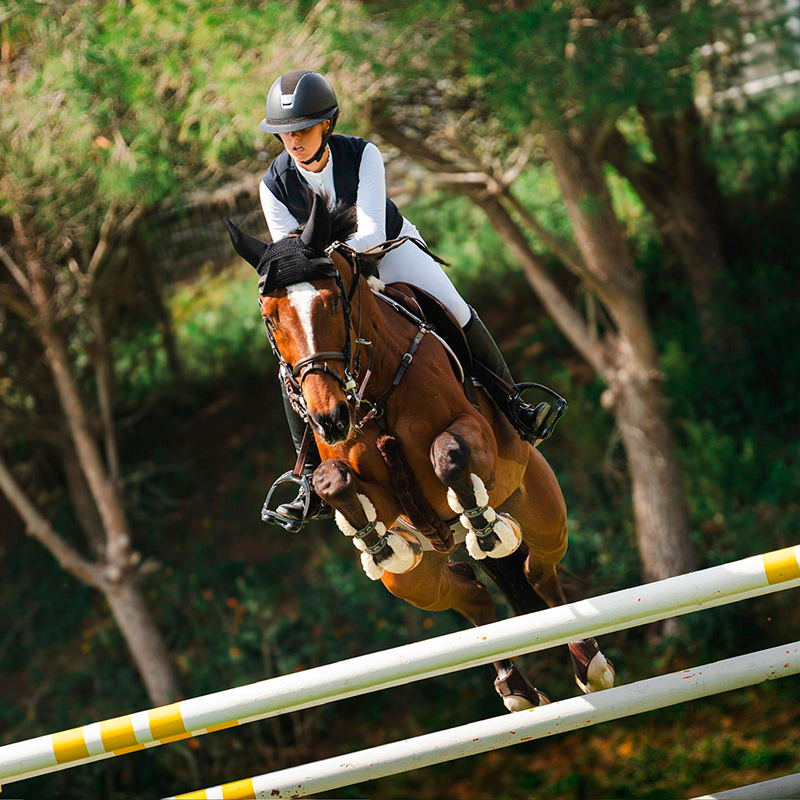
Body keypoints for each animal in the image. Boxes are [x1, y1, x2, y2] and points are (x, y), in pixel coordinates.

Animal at [225, 197, 612, 708]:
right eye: (271, 317)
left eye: (333, 302)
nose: (330, 419)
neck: (374, 391)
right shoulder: (375, 491)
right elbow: (334, 480)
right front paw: (377, 542)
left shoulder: (476, 437)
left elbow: (448, 455)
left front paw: (485, 527)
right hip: (414, 583)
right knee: (471, 594)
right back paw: (515, 687)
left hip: (543, 510)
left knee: (537, 570)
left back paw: (588, 661)